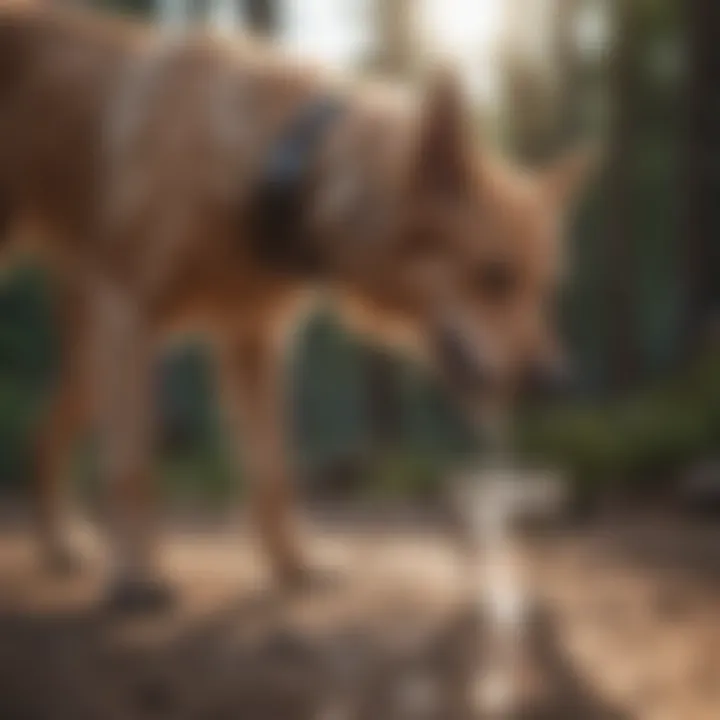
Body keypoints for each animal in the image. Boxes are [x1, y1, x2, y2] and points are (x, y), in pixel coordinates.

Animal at [0, 1, 592, 608]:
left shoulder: (254, 344)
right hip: (104, 348)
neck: (272, 163)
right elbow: (134, 468)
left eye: (544, 288)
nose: (558, 383)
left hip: (92, 362)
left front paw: (294, 566)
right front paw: (136, 574)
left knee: (39, 436)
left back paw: (60, 543)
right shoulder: (130, 316)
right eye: (495, 276)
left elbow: (274, 472)